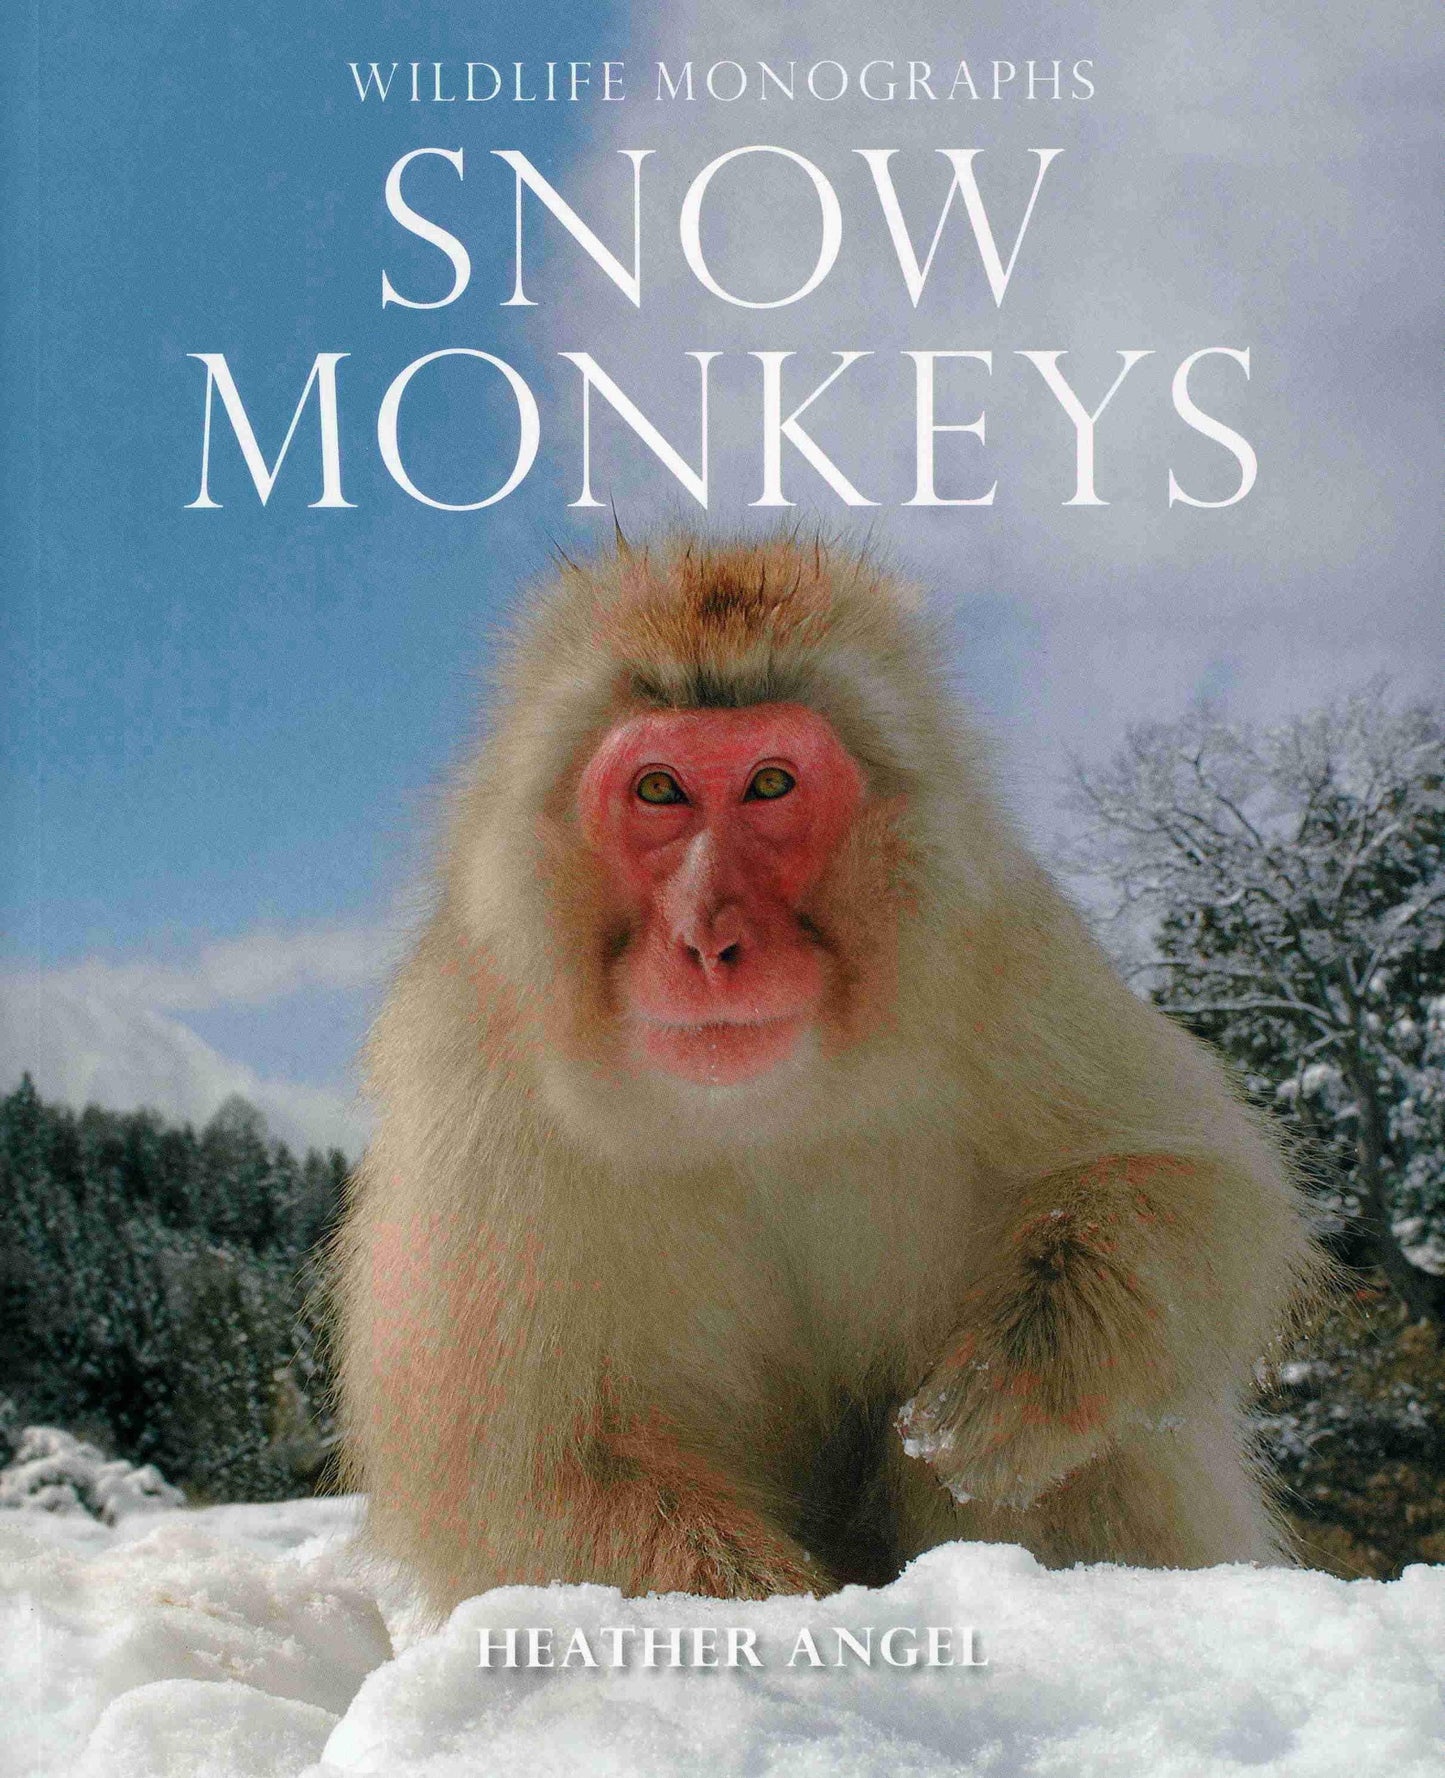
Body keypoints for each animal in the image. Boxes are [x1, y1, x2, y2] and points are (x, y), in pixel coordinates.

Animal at [333, 530, 1322, 1616]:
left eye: (769, 784)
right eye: (657, 790)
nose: (707, 936)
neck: (751, 1110)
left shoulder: (1000, 956)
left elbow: (1190, 1177)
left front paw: (1025, 1370)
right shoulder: (476, 1083)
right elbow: (521, 1473)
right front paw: (781, 1618)